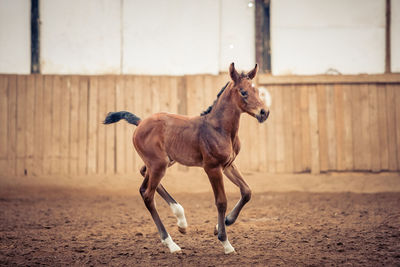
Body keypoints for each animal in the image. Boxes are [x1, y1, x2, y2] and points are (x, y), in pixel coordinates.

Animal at [104, 63, 270, 255]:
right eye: (243, 92)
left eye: (257, 90)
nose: (264, 112)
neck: (219, 128)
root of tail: (140, 122)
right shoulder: (212, 167)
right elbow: (221, 201)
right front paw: (225, 242)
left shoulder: (229, 164)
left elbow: (247, 191)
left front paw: (220, 225)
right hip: (159, 164)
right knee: (147, 195)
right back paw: (171, 243)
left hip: (163, 162)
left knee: (143, 179)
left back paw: (181, 221)